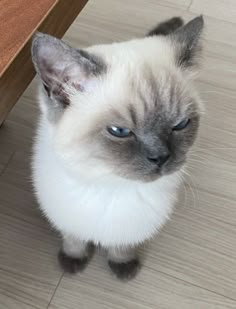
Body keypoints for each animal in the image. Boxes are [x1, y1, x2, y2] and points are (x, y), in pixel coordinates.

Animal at [31, 14, 204, 280]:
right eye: (119, 132)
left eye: (181, 125)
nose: (161, 157)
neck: (112, 186)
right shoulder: (68, 219)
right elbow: (74, 240)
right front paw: (73, 261)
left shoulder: (130, 229)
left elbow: (121, 246)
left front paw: (123, 266)